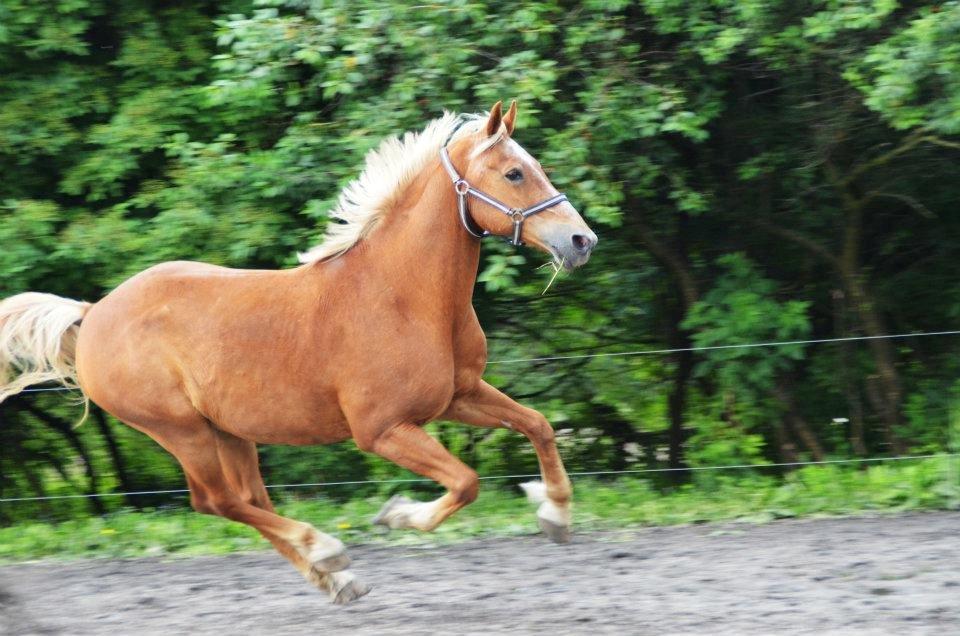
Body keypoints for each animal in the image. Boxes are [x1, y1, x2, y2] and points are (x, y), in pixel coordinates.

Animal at [0, 102, 596, 604]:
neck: (402, 297)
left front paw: (554, 514)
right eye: (514, 173)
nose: (582, 241)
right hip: (180, 430)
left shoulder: (460, 396)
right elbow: (467, 482)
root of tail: (93, 312)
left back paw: (337, 580)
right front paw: (396, 516)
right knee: (218, 502)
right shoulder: (382, 430)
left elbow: (538, 424)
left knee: (250, 502)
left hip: (228, 430)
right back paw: (329, 552)